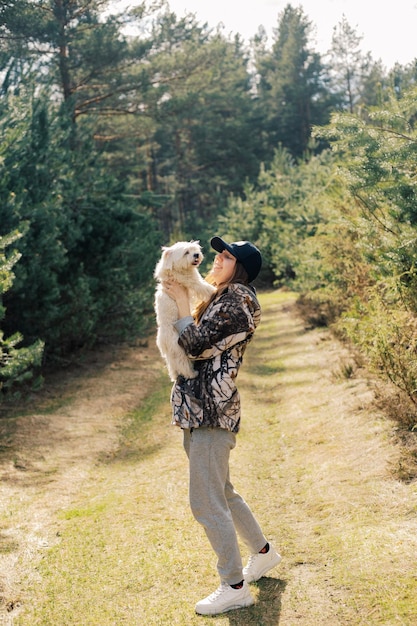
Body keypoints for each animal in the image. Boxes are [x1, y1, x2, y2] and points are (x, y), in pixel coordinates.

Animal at [154, 241, 216, 380]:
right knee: (183, 364)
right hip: (179, 349)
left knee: (173, 366)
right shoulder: (191, 281)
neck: (176, 268)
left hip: (172, 355)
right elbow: (203, 286)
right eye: (186, 252)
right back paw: (192, 374)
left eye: (194, 249)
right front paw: (214, 290)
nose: (196, 255)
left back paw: (175, 375)